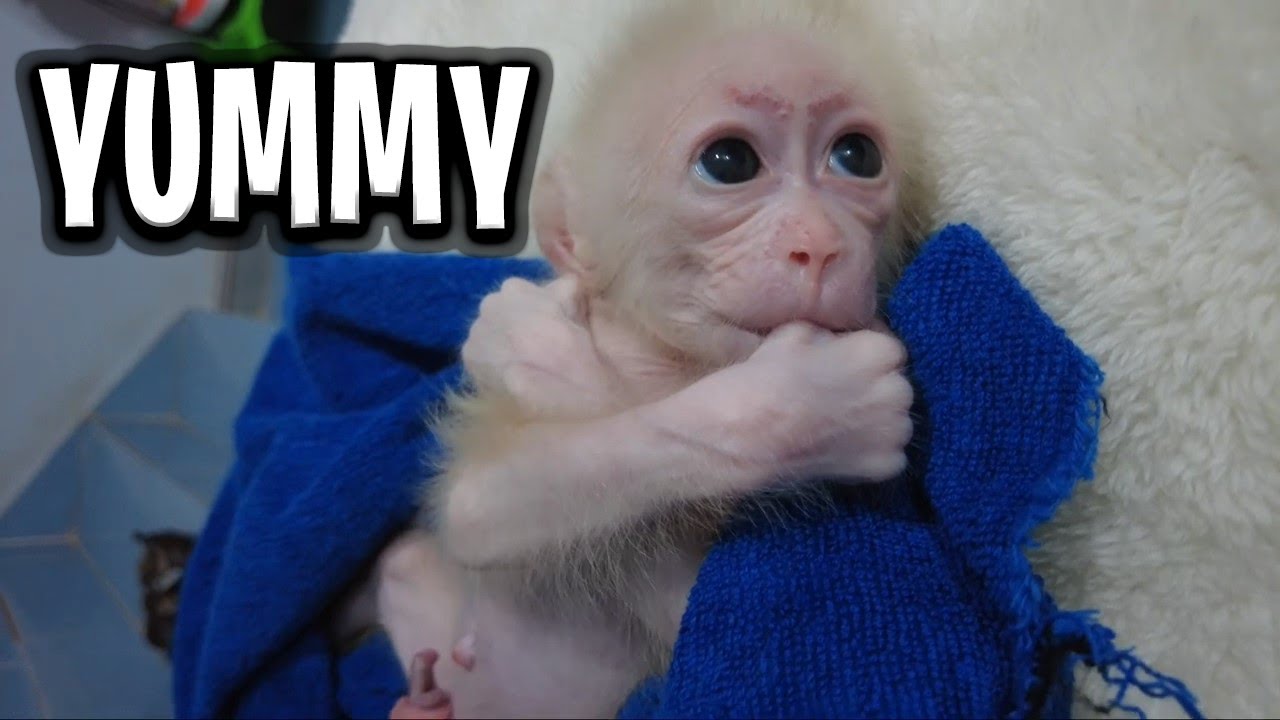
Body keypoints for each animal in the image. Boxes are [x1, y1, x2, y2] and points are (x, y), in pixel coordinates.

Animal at [368, 2, 933, 717]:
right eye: (729, 161)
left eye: (856, 156)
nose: (821, 244)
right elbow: (481, 510)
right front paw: (808, 407)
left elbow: (698, 632)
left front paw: (530, 342)